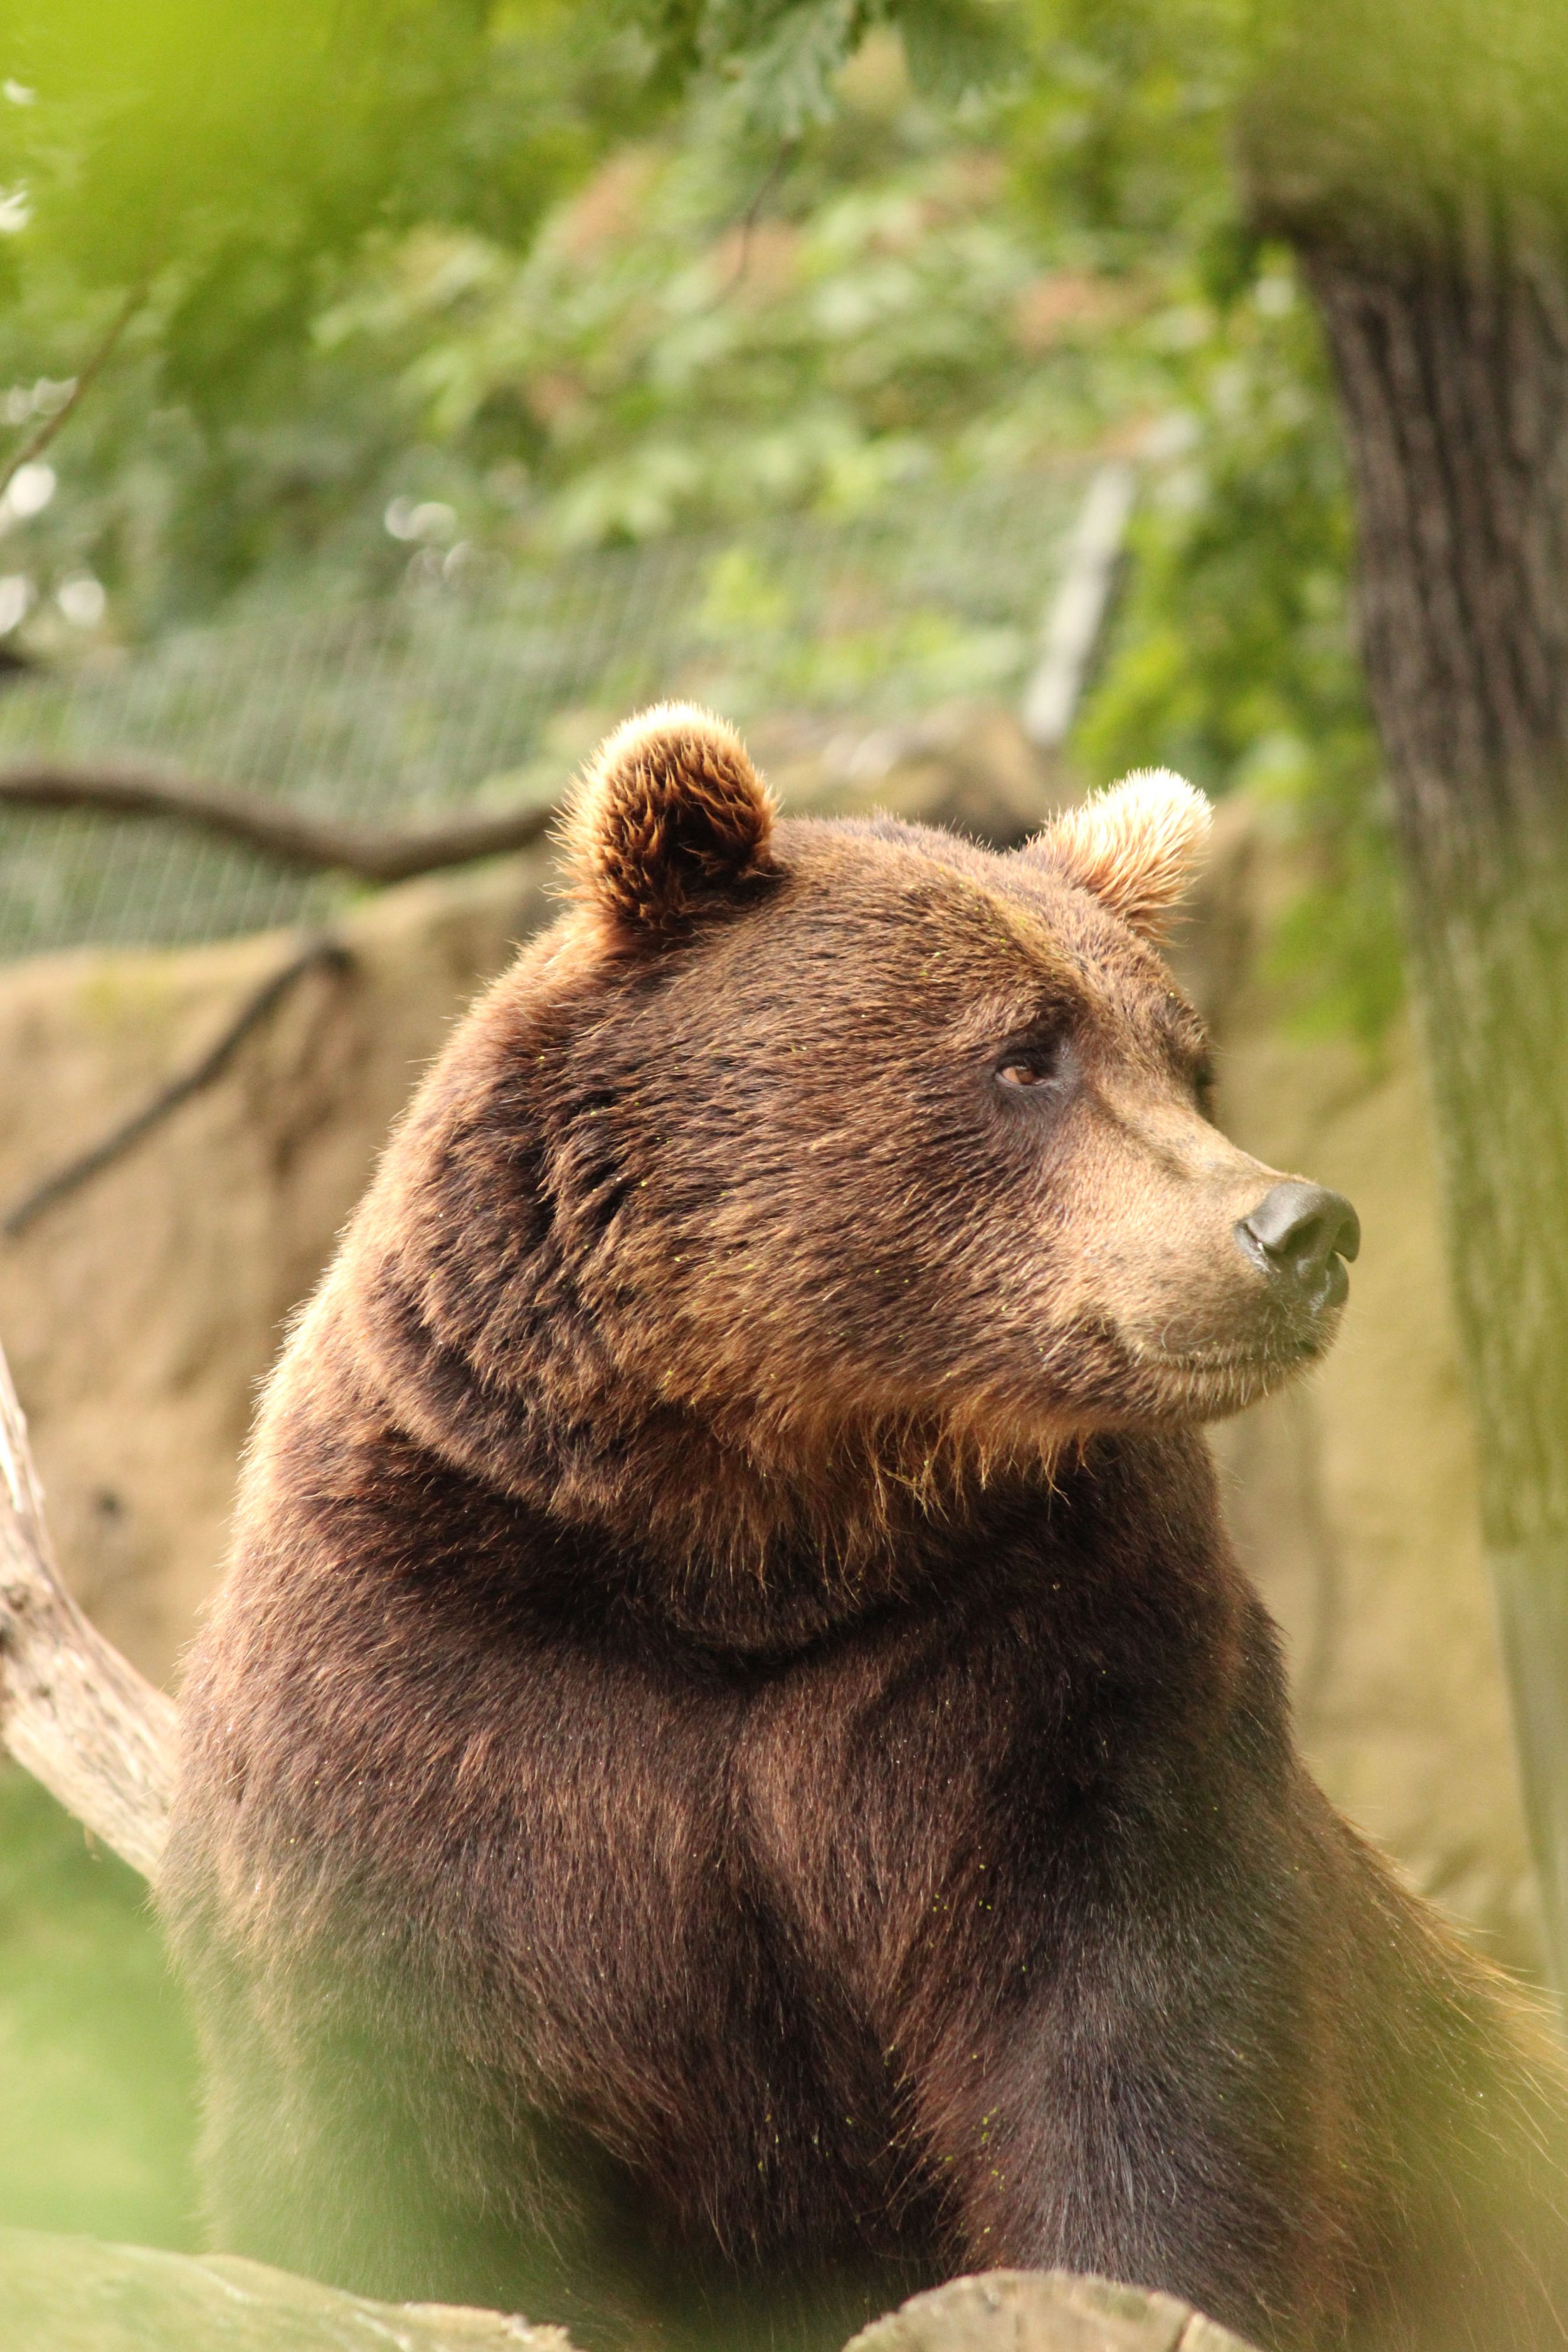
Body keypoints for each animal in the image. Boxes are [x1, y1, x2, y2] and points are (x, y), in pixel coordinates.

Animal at [164, 705, 1568, 2352]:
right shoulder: (433, 1672)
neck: (750, 1532)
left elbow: (1143, 2041)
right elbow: (398, 2130)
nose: (1299, 1230)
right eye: (1025, 1053)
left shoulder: (1046, 1660)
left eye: (1188, 1061)